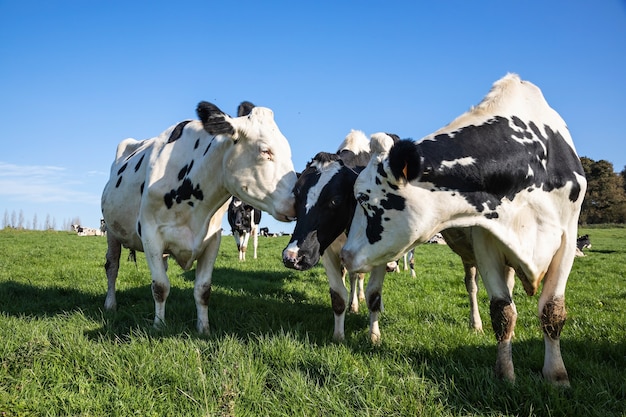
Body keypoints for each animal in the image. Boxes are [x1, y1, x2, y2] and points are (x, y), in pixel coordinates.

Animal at [101, 99, 296, 334]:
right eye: (265, 151)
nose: (299, 198)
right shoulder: (150, 235)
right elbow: (160, 286)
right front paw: (159, 326)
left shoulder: (213, 239)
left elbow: (203, 290)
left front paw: (204, 329)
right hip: (111, 230)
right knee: (112, 266)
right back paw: (110, 304)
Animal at [338, 73, 584, 386]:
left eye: (363, 198)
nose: (345, 254)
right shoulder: (486, 238)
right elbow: (502, 310)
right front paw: (505, 374)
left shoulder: (567, 238)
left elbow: (552, 310)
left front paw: (556, 376)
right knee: (472, 287)